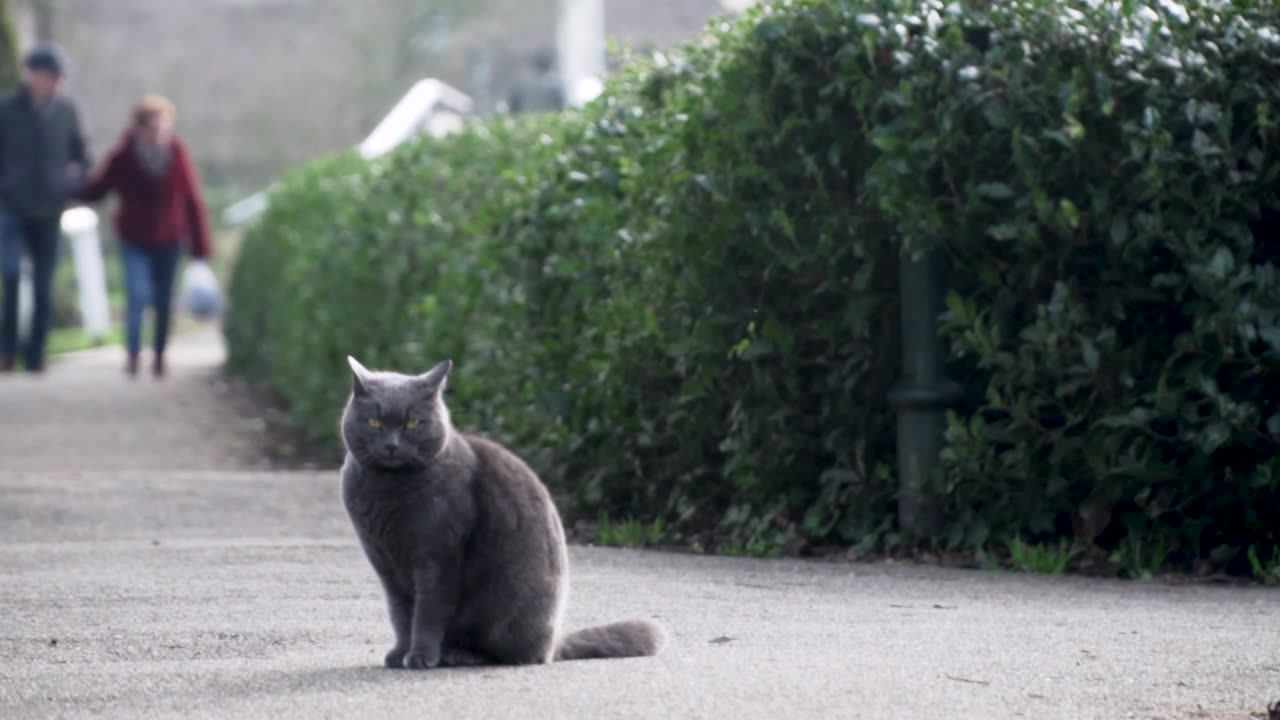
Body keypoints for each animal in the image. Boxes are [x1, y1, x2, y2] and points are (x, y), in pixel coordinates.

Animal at [340, 353, 665, 666]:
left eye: (412, 423)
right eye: (375, 423)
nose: (392, 445)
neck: (386, 490)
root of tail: (554, 645)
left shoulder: (438, 556)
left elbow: (427, 612)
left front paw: (420, 656)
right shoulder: (384, 562)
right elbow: (400, 613)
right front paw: (400, 652)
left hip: (502, 604)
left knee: (517, 654)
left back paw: (459, 655)